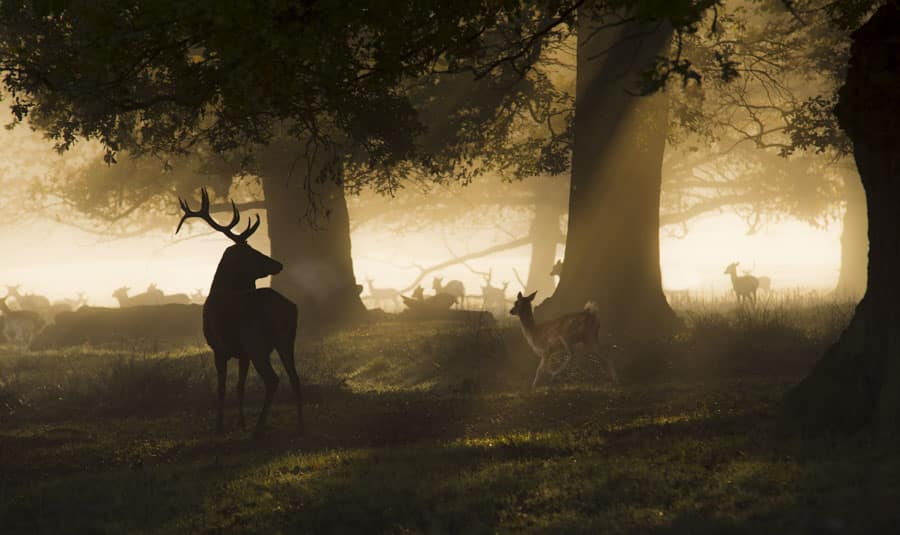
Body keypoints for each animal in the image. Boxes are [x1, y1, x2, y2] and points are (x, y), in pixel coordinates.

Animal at [178, 188, 304, 440]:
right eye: (252, 253)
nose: (278, 264)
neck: (220, 290)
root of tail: (286, 308)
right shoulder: (242, 353)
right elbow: (240, 387)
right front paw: (241, 422)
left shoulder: (219, 348)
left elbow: (222, 388)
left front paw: (219, 426)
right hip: (287, 340)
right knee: (295, 378)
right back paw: (301, 427)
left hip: (257, 341)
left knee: (273, 379)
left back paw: (259, 430)